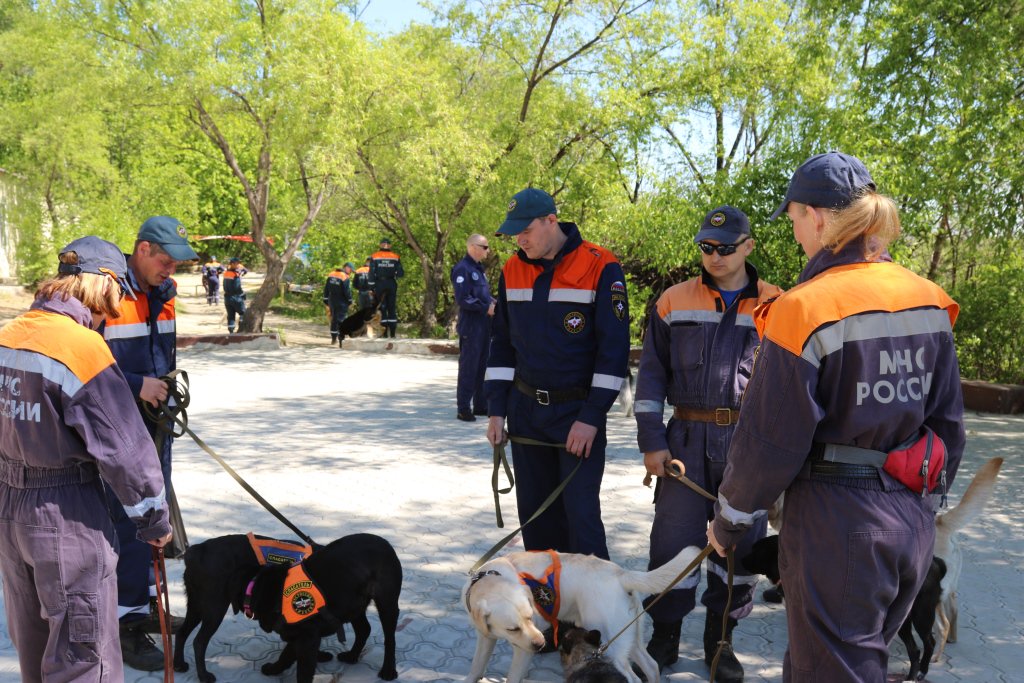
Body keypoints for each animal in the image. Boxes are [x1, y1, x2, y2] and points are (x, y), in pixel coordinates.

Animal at [249, 532, 401, 683]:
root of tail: (385, 543)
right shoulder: (298, 636)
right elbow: (285, 656)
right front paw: (273, 669)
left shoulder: (307, 639)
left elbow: (302, 671)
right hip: (353, 606)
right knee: (364, 629)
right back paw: (351, 656)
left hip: (386, 605)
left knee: (390, 639)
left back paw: (388, 669)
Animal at [464, 544, 704, 683]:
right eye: (512, 628)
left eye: (530, 617)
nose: (541, 644)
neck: (490, 578)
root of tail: (621, 574)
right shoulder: (485, 637)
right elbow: (475, 667)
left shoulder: (523, 650)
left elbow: (513, 677)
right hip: (627, 637)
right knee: (652, 666)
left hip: (609, 643)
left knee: (634, 678)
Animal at [741, 536, 946, 679]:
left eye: (756, 550)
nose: (739, 558)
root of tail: (936, 563)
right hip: (903, 621)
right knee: (915, 649)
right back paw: (914, 675)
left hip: (920, 616)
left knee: (929, 643)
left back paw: (921, 672)